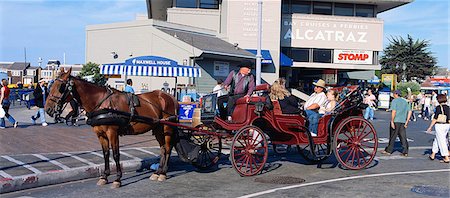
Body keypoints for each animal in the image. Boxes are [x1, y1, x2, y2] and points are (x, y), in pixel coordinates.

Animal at [44, 68, 178, 189]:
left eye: (60, 86)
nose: (47, 109)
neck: (101, 103)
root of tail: (170, 96)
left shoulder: (112, 132)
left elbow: (116, 154)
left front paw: (118, 179)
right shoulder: (100, 134)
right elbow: (106, 154)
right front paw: (104, 176)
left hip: (167, 127)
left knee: (167, 148)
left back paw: (163, 173)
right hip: (157, 128)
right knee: (162, 149)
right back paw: (157, 172)